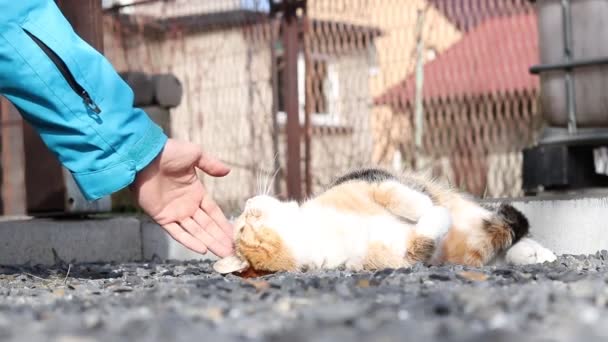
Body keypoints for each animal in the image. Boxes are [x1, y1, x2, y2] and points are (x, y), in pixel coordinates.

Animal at [213, 167, 556, 276]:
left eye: (241, 221)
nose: (247, 202)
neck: (315, 231)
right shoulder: (400, 258)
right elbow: (423, 238)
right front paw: (436, 217)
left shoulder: (370, 181)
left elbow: (397, 196)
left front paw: (426, 206)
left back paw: (541, 253)